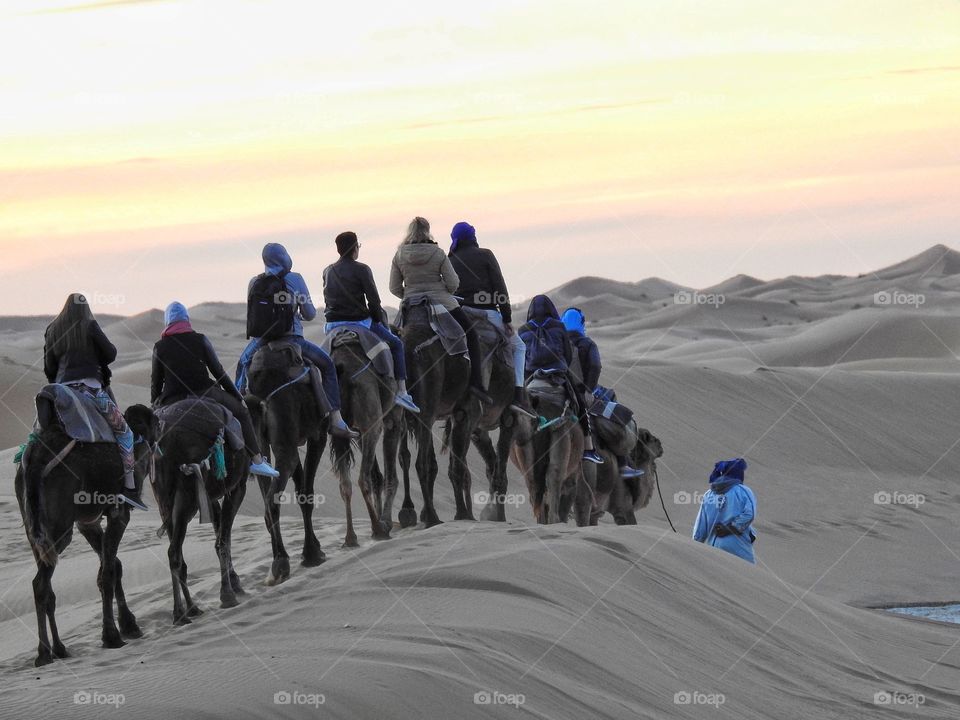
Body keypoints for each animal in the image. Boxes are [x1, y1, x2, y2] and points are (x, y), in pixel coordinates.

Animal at [15, 402, 158, 668]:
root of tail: (35, 461)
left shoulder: (87, 522)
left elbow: (113, 564)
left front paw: (129, 625)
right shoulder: (119, 513)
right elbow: (108, 572)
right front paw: (112, 635)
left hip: (34, 528)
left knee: (46, 587)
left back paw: (59, 649)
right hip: (59, 528)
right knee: (40, 583)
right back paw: (43, 654)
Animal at [153, 400, 251, 624]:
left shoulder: (210, 497)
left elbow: (220, 533)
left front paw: (233, 585)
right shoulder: (237, 488)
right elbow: (223, 541)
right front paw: (228, 593)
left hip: (165, 499)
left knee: (176, 554)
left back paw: (189, 609)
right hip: (187, 495)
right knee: (175, 552)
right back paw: (181, 613)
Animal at [246, 346, 328, 588]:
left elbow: (300, 489)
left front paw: (313, 549)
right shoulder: (317, 434)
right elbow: (307, 493)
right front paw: (312, 554)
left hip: (261, 445)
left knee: (267, 496)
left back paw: (276, 561)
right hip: (286, 442)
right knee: (274, 497)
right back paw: (281, 564)